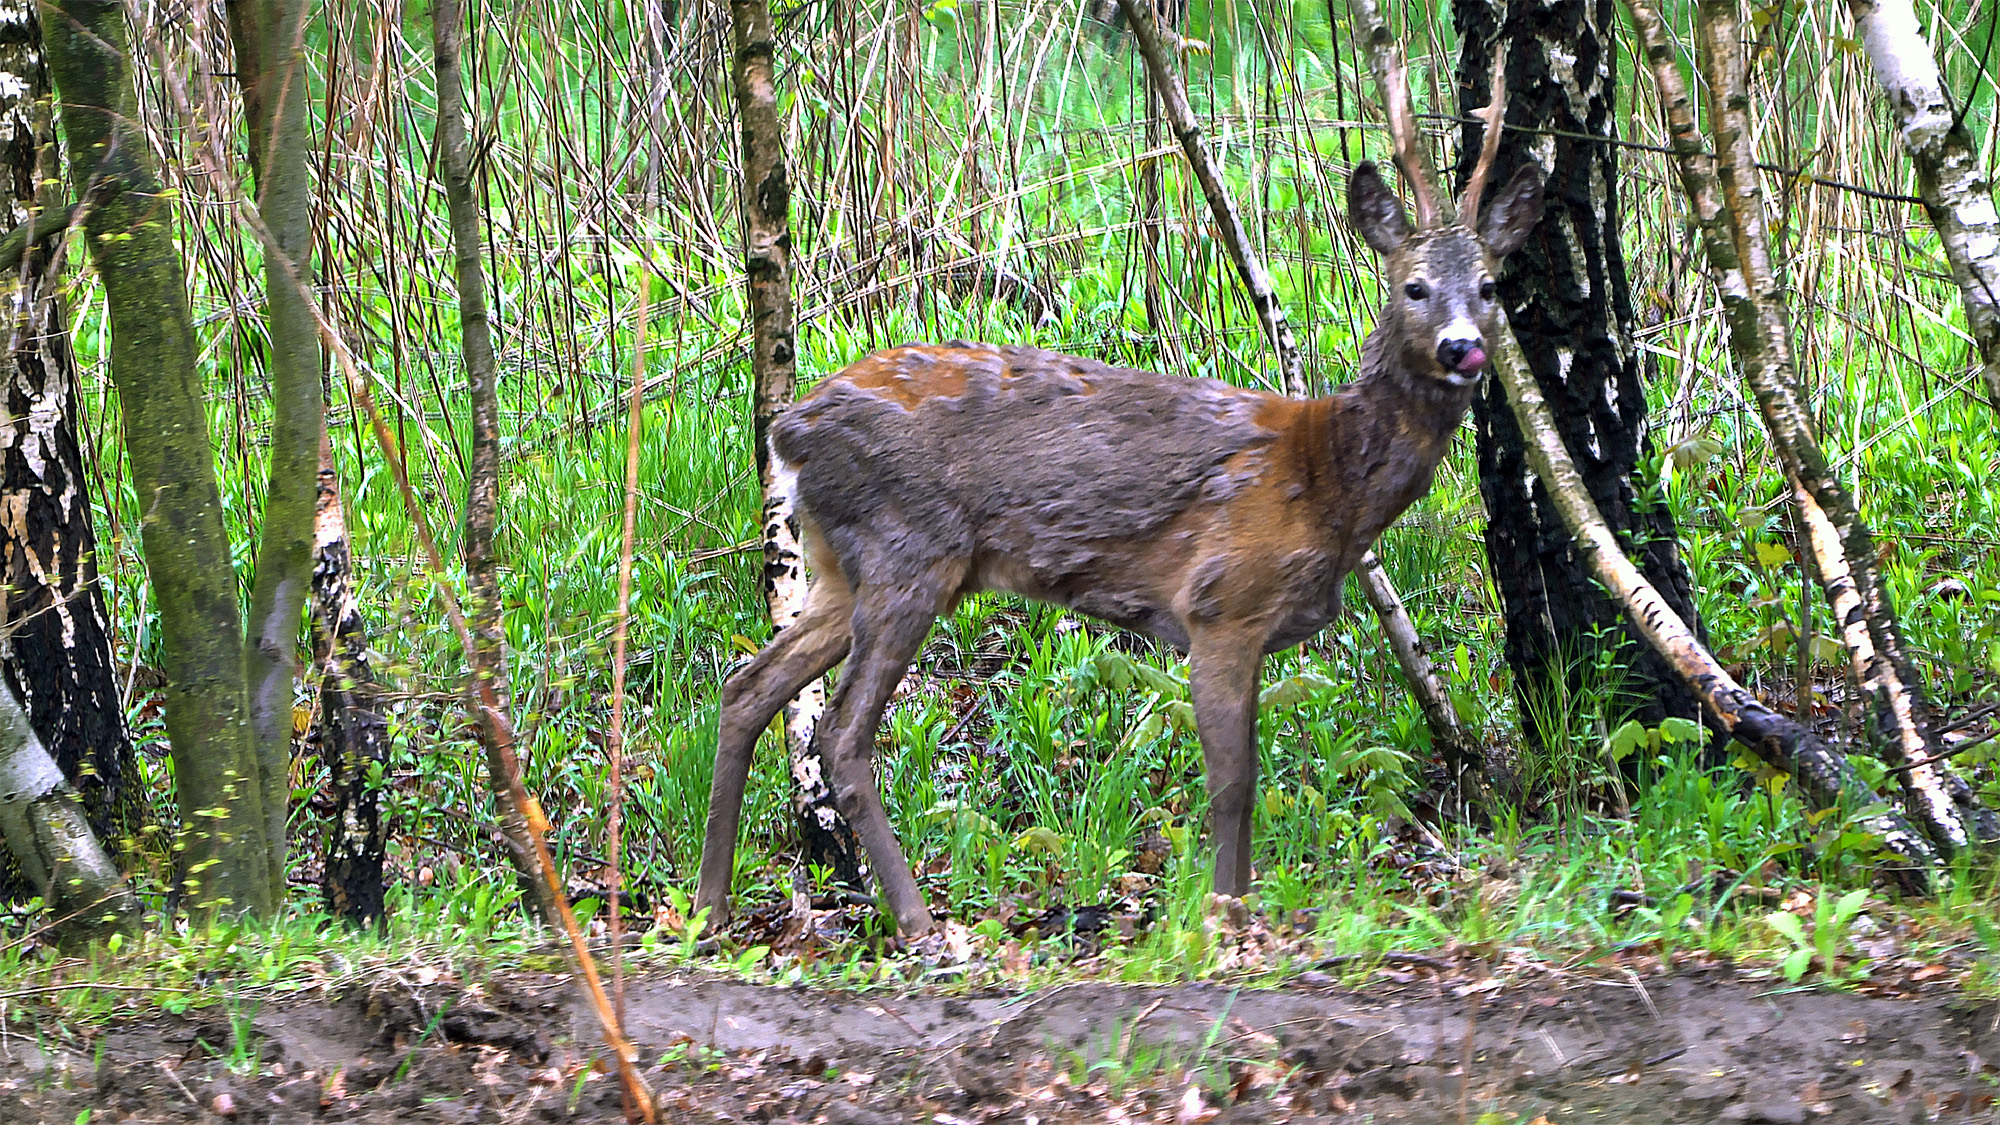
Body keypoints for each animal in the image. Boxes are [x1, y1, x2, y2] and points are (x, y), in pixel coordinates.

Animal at [695, 81, 1543, 937]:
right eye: (1413, 286)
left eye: (1489, 286)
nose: (1463, 347)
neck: (1327, 482)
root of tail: (788, 430)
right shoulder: (1221, 602)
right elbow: (1233, 782)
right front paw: (1223, 916)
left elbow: (1249, 776)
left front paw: (1237, 907)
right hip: (909, 550)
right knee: (840, 731)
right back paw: (919, 921)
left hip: (842, 568)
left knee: (747, 685)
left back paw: (708, 903)